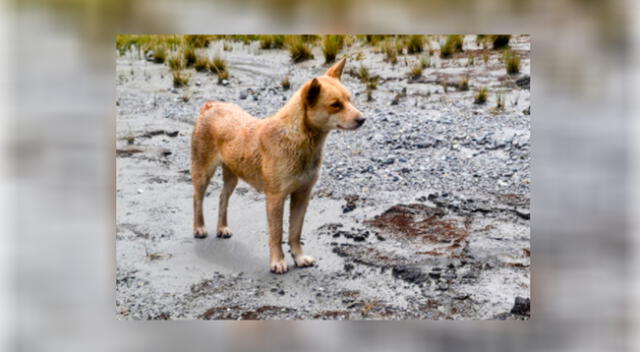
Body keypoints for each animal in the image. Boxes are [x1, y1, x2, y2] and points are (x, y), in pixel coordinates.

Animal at [191, 57, 364, 274]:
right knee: (197, 200)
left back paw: (222, 228)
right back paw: (199, 228)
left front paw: (299, 257)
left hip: (232, 175)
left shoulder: (302, 194)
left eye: (349, 99)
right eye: (335, 105)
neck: (299, 140)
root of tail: (210, 105)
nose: (362, 119)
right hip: (202, 172)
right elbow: (277, 233)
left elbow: (295, 232)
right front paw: (277, 261)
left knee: (223, 198)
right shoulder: (275, 197)